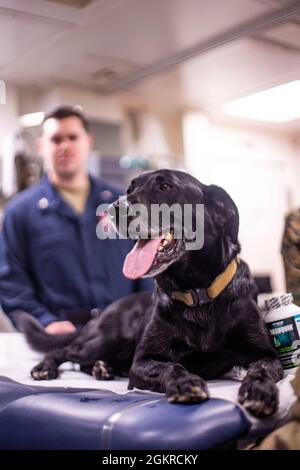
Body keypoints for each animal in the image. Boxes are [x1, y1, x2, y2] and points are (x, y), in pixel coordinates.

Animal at [19, 170, 284, 418]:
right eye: (129, 189)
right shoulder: (143, 361)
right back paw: (47, 367)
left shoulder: (266, 354)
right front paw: (185, 382)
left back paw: (102, 368)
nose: (114, 209)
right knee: (64, 351)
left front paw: (259, 391)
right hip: (108, 338)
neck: (196, 295)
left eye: (166, 186)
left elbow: (261, 369)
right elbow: (170, 367)